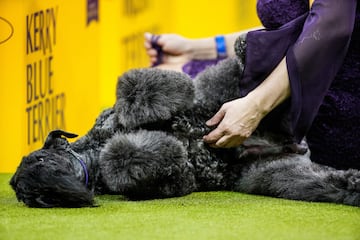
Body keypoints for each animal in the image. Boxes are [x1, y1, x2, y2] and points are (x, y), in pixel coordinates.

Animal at [9, 43, 360, 208]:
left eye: (40, 158)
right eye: (27, 192)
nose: (45, 189)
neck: (92, 156)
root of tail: (295, 144)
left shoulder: (119, 112)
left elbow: (138, 92)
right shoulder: (177, 179)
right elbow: (139, 156)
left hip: (224, 93)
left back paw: (248, 44)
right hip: (279, 174)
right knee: (322, 181)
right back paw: (353, 185)